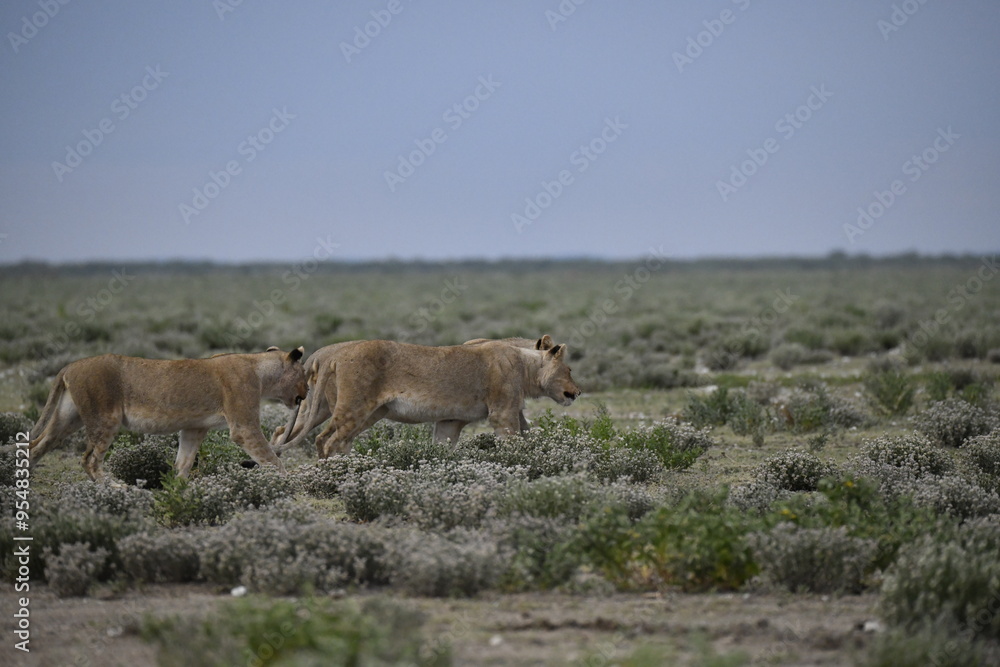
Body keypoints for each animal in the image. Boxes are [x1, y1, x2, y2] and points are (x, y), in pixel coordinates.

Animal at [28, 346, 307, 480]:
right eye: (304, 374)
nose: (306, 392)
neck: (260, 370)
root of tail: (70, 366)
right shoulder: (243, 426)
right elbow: (271, 458)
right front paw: (288, 484)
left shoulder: (194, 428)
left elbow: (183, 463)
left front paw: (178, 490)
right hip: (105, 418)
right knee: (89, 460)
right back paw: (117, 489)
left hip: (68, 417)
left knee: (37, 445)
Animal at [271, 336, 579, 458]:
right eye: (570, 369)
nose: (576, 393)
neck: (525, 365)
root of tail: (328, 355)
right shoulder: (503, 413)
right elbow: (515, 442)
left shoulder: (450, 421)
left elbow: (443, 446)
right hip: (353, 408)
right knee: (327, 440)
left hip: (327, 408)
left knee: (282, 432)